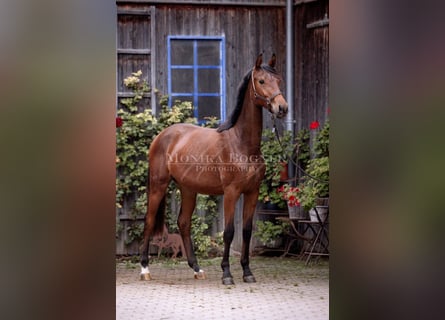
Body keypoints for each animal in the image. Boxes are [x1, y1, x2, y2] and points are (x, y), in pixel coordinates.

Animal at [140, 53, 290, 284]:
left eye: (279, 80)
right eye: (261, 81)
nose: (282, 108)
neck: (241, 144)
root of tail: (162, 136)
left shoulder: (252, 193)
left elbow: (246, 231)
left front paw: (247, 271)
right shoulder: (231, 193)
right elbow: (228, 232)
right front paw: (227, 273)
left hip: (188, 189)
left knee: (183, 223)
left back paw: (196, 268)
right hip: (158, 185)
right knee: (148, 221)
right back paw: (145, 269)